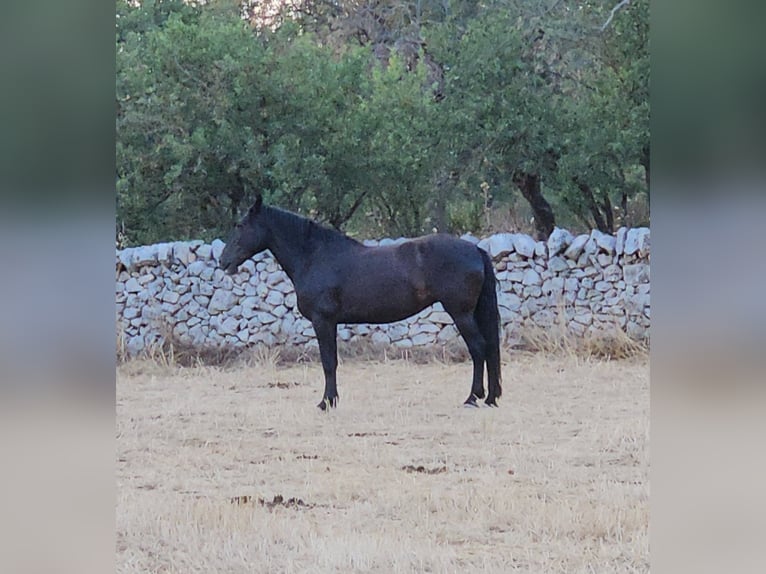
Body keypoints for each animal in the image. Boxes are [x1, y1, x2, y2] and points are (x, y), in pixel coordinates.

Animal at [220, 195, 502, 410]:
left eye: (241, 225)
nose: (223, 261)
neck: (314, 256)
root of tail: (475, 250)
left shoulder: (323, 321)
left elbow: (328, 362)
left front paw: (326, 402)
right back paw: (490, 397)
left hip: (460, 313)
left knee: (479, 348)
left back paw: (473, 397)